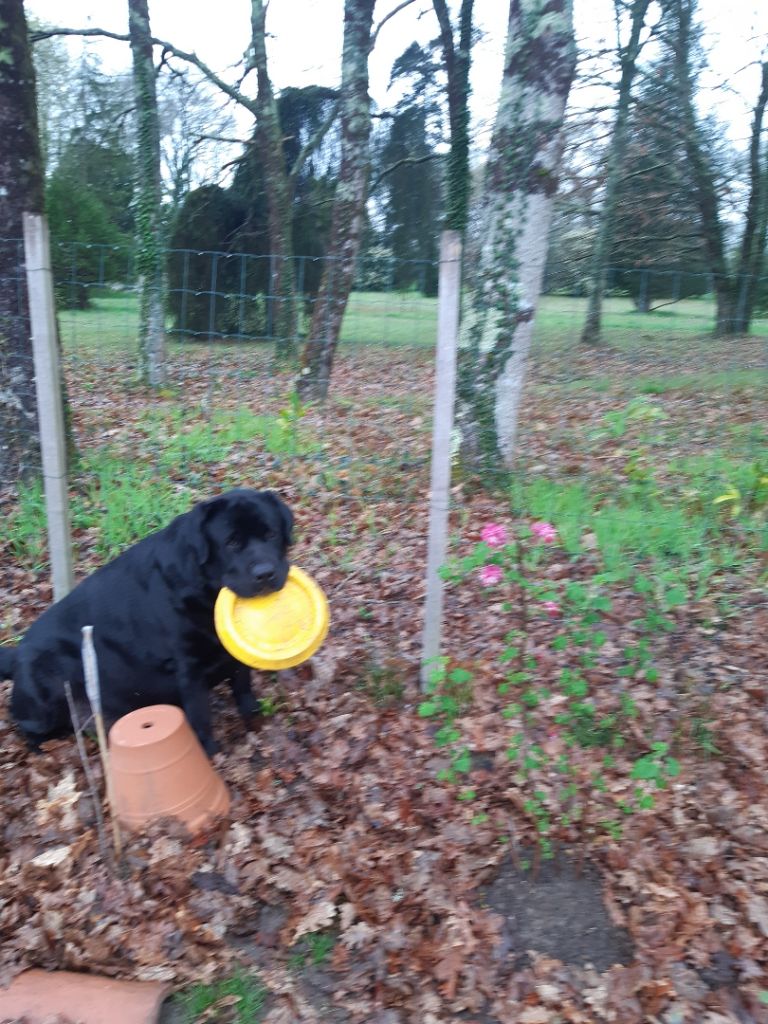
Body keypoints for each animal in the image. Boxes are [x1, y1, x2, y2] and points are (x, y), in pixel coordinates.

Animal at [0, 491, 294, 757]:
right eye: (231, 543)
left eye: (271, 535)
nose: (265, 573)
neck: (204, 591)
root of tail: (16, 656)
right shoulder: (189, 668)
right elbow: (200, 716)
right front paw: (208, 754)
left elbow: (243, 683)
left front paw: (252, 714)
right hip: (48, 687)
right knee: (28, 727)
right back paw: (44, 747)